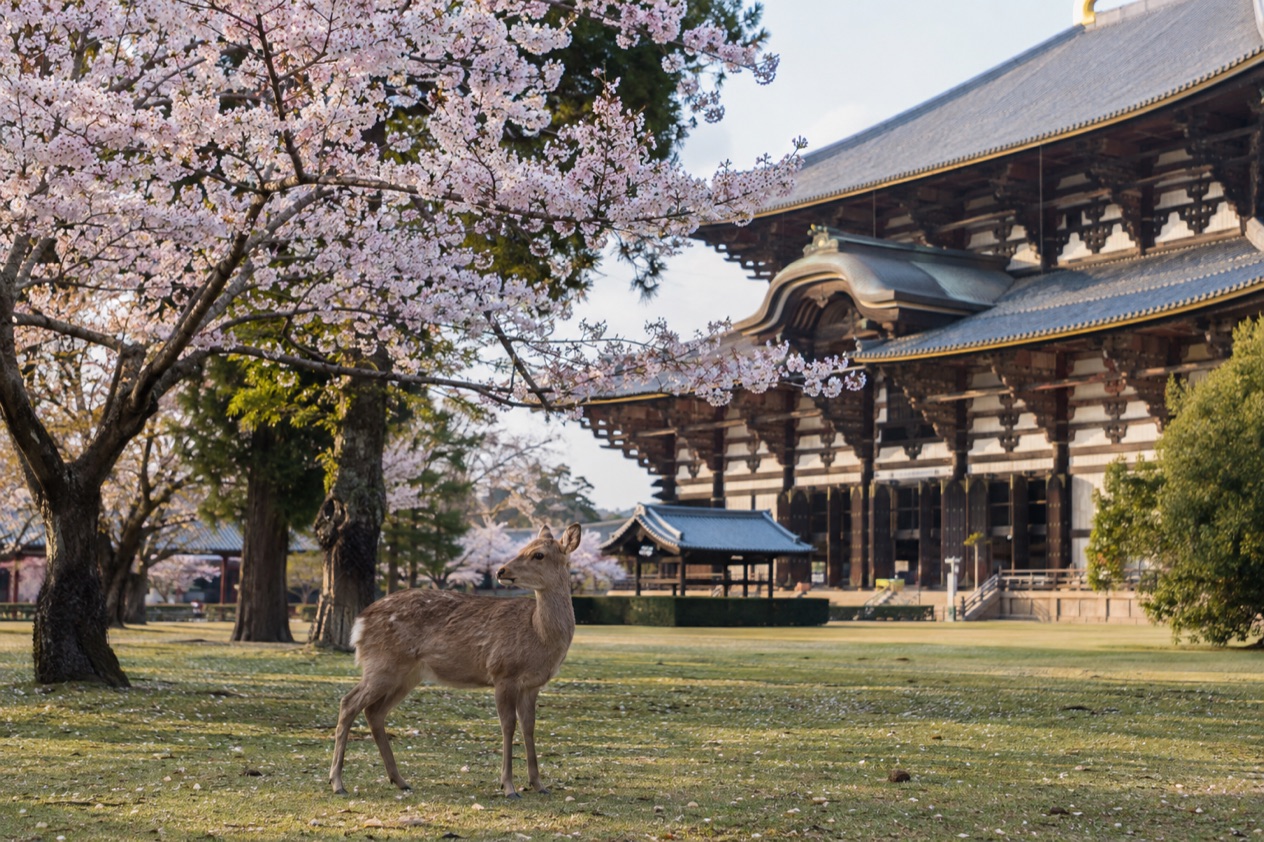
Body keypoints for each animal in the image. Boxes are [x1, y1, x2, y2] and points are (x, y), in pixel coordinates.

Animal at [329, 523, 581, 798]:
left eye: (538, 554)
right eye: (523, 548)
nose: (501, 570)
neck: (539, 634)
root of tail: (359, 623)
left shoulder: (532, 684)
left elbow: (529, 727)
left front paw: (539, 784)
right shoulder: (503, 672)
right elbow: (508, 725)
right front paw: (508, 787)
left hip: (406, 674)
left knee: (374, 711)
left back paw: (400, 780)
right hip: (382, 664)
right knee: (348, 703)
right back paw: (337, 782)